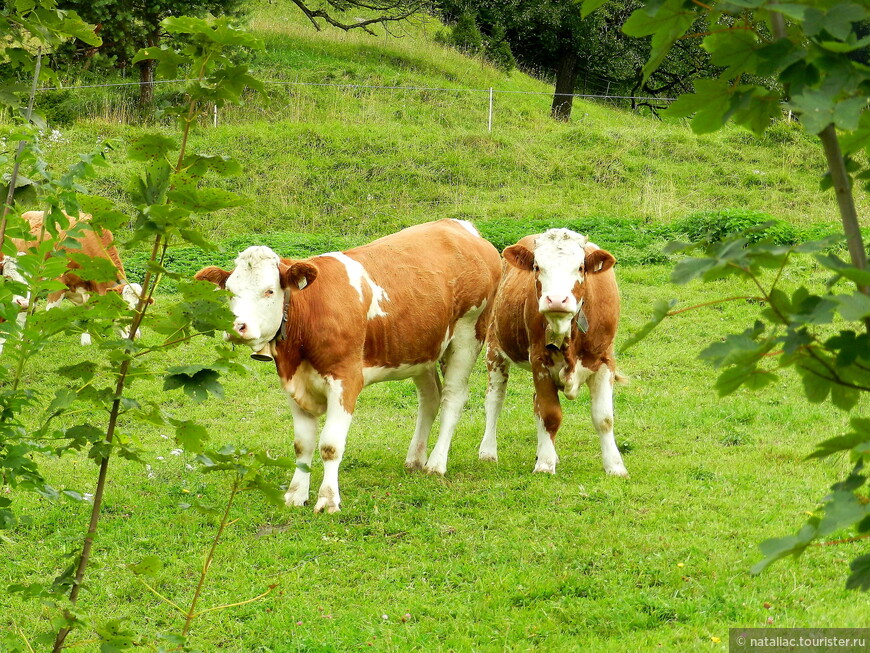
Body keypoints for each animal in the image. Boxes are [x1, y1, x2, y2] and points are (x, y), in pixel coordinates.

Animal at [2, 211, 148, 346]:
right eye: (125, 308)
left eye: (139, 308)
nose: (136, 336)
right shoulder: (57, 282)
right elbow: (49, 313)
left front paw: (86, 342)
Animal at [193, 222, 500, 512]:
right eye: (229, 292)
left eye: (269, 291)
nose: (236, 327)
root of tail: (462, 227)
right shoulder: (293, 384)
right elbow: (302, 445)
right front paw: (295, 495)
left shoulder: (345, 381)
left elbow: (330, 446)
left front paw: (328, 500)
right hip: (420, 350)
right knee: (430, 398)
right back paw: (415, 458)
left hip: (468, 335)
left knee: (452, 398)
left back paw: (436, 463)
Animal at [480, 227, 632, 476]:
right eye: (536, 267)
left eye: (580, 267)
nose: (557, 300)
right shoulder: (539, 361)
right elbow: (550, 414)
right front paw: (545, 464)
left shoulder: (605, 361)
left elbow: (604, 418)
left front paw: (615, 466)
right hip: (495, 347)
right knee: (495, 399)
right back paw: (488, 451)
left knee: (534, 403)